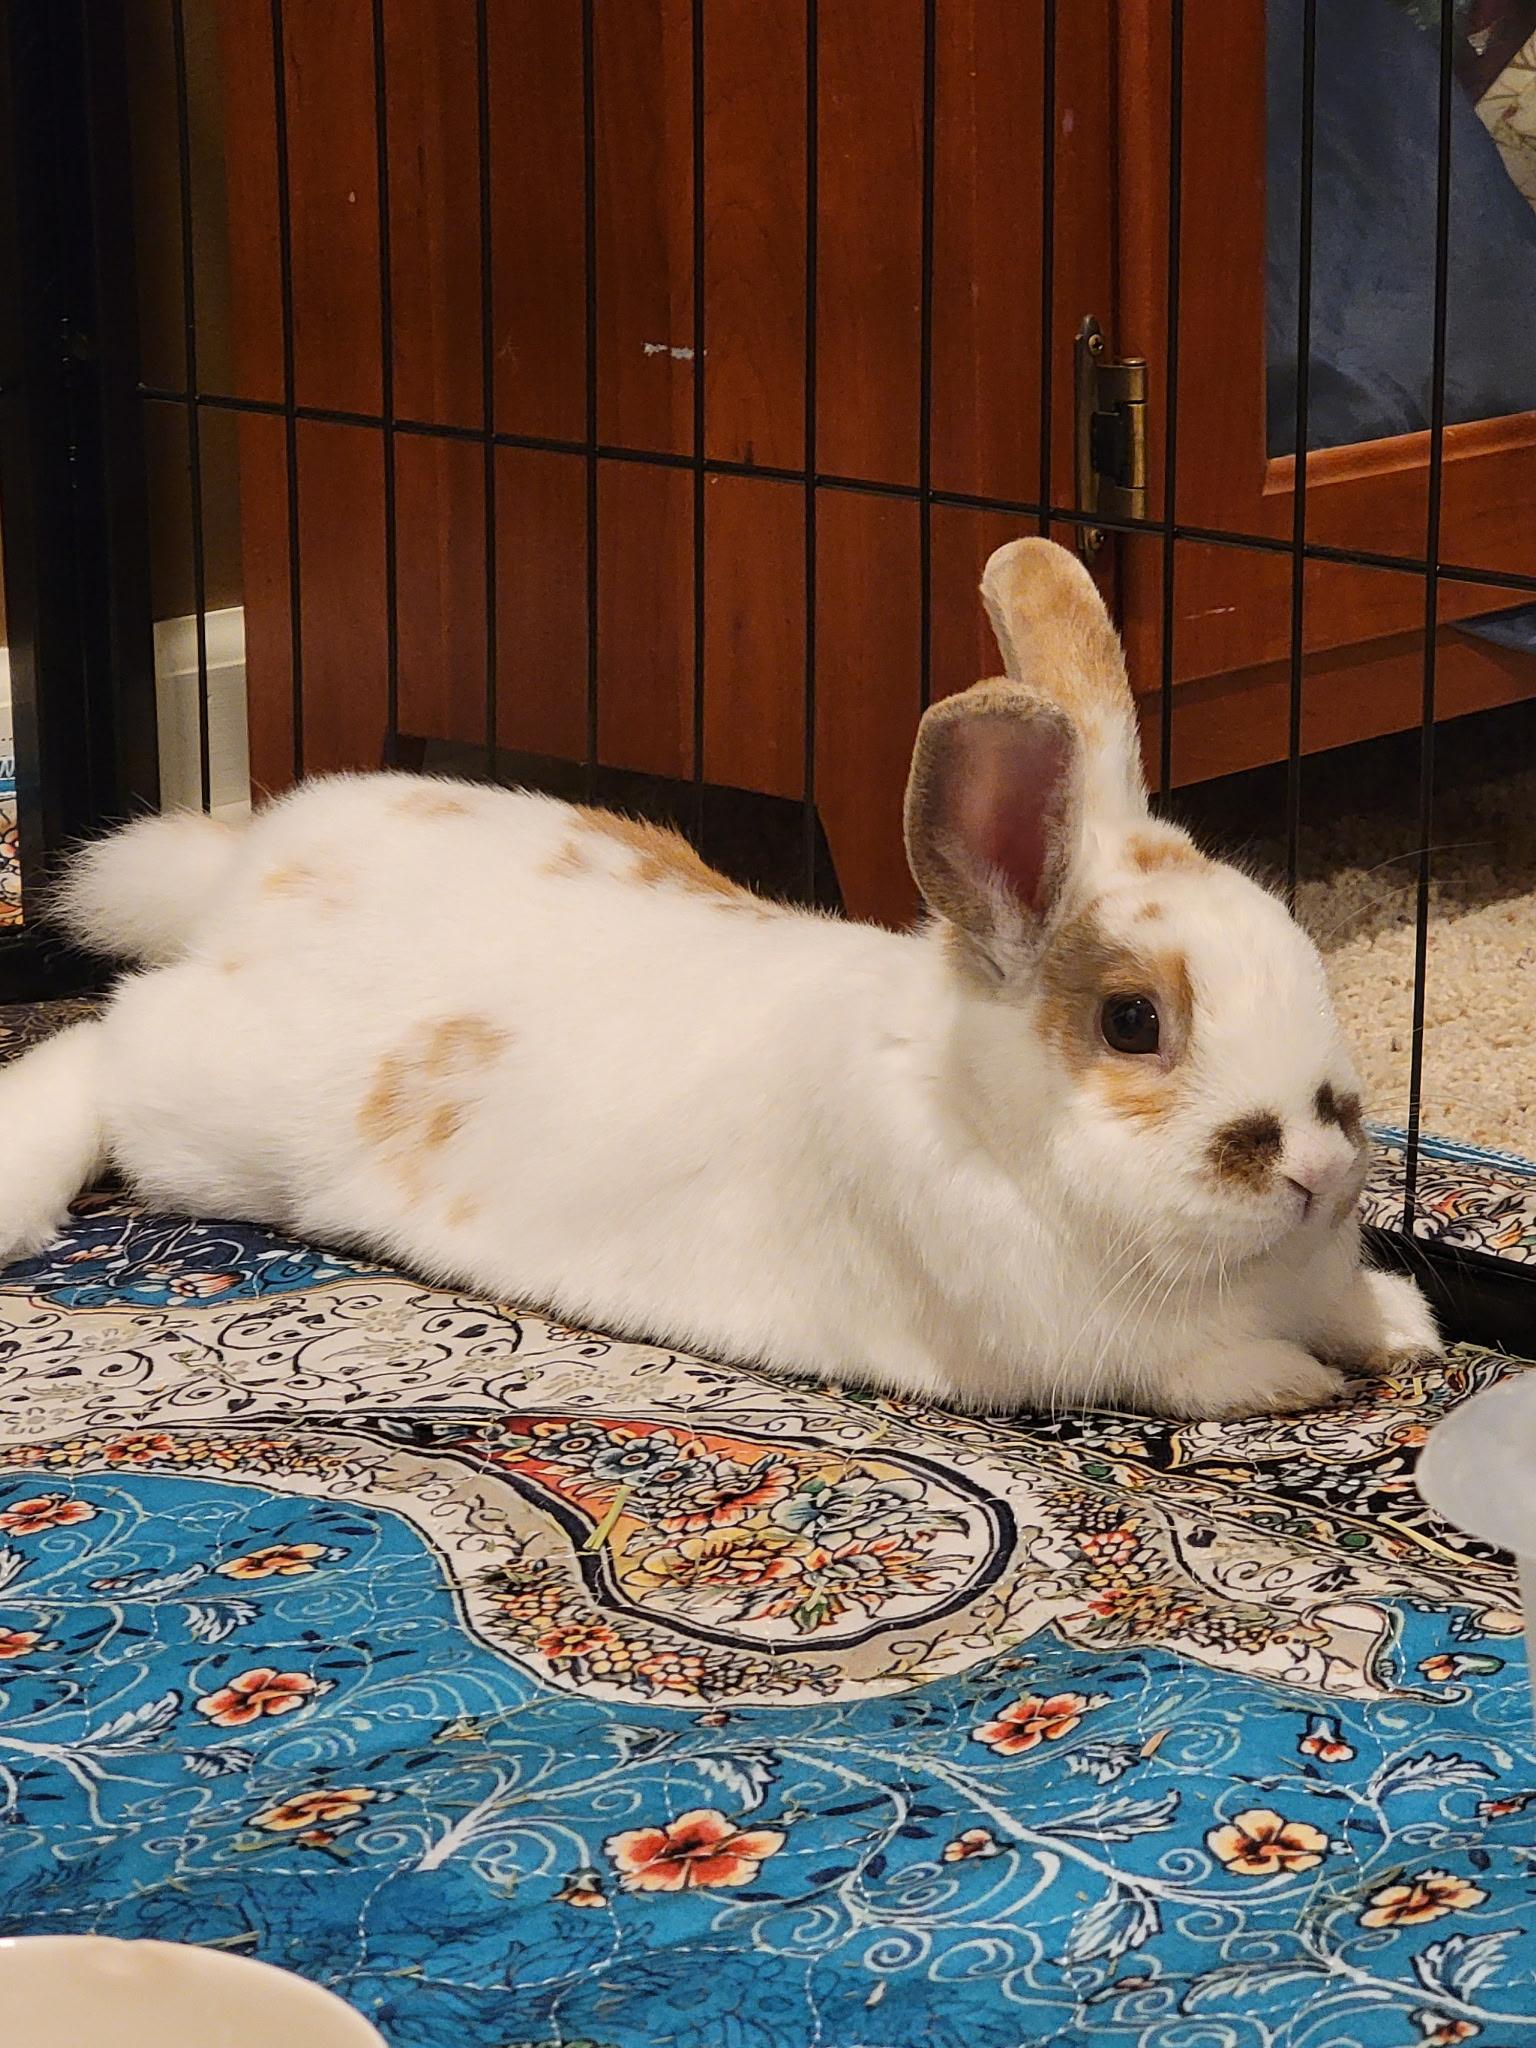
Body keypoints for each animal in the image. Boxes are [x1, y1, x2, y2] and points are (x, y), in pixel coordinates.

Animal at [0, 538, 1439, 1418]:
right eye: (1132, 1021)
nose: (1319, 1169)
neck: (974, 1102)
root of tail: (251, 872)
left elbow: (1353, 1306)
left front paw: (1406, 1327)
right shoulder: (1114, 1345)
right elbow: (1208, 1367)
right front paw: (1297, 1384)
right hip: (211, 1108)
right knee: (103, 1039)